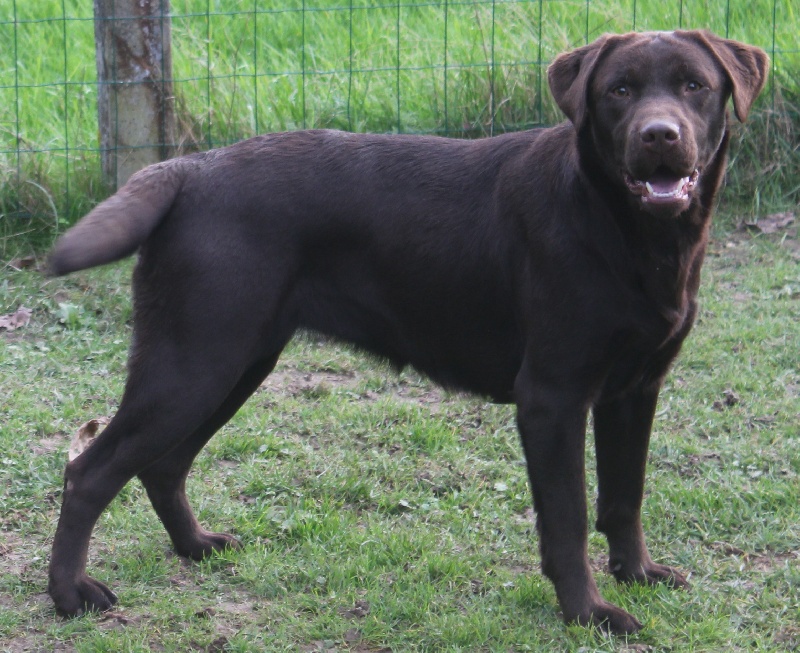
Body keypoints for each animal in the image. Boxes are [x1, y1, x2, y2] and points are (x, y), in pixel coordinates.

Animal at [45, 30, 768, 632]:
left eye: (694, 86)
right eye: (619, 90)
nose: (659, 135)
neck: (626, 230)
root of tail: (190, 169)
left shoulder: (634, 389)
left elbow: (624, 497)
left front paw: (637, 574)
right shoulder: (552, 398)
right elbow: (567, 520)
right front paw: (587, 613)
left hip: (233, 362)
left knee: (162, 464)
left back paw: (195, 547)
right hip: (195, 360)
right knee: (90, 472)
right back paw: (71, 594)